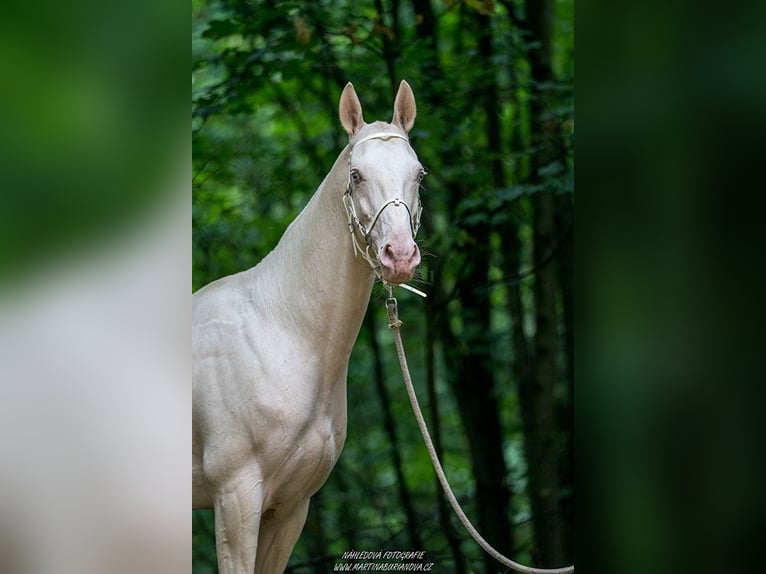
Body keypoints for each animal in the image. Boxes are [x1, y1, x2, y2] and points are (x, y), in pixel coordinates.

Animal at [194, 82, 426, 574]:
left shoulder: (291, 508)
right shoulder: (235, 499)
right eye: (356, 175)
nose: (400, 256)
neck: (282, 333)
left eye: (420, 174)